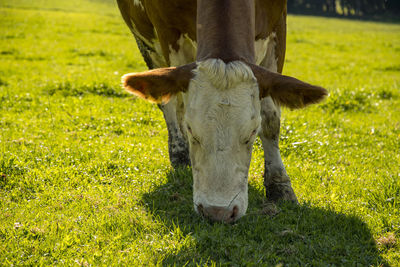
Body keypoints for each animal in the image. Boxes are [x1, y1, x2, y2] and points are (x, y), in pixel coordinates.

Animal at [116, 0, 328, 224]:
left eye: (252, 133)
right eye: (192, 131)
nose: (218, 212)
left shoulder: (277, 26)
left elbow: (271, 119)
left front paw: (280, 185)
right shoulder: (168, 32)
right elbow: (178, 102)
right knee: (170, 105)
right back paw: (179, 152)